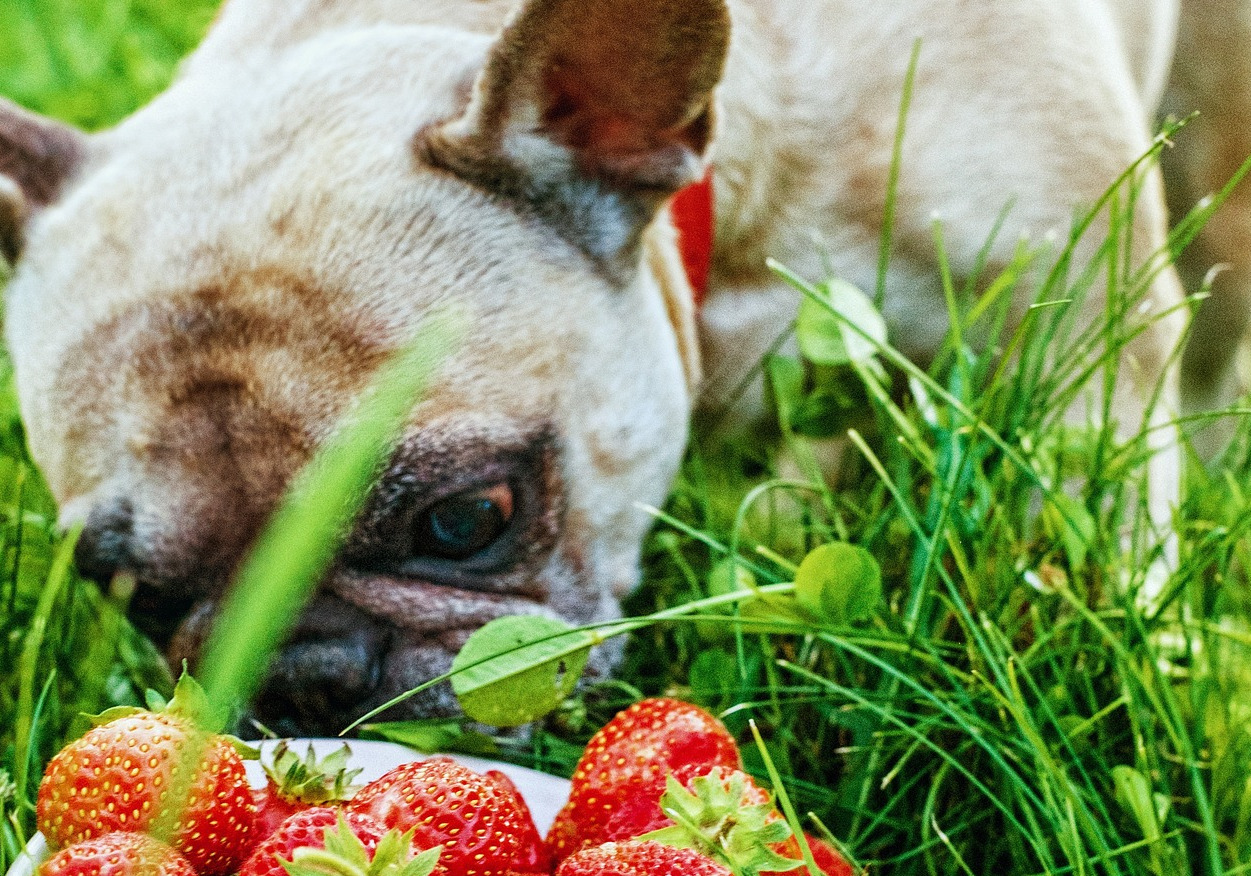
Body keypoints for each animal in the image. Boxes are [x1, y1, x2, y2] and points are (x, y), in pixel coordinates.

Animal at [0, 0, 1235, 730]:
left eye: (464, 520)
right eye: (135, 593)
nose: (304, 678)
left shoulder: (1080, 336)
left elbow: (1102, 523)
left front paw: (1145, 669)